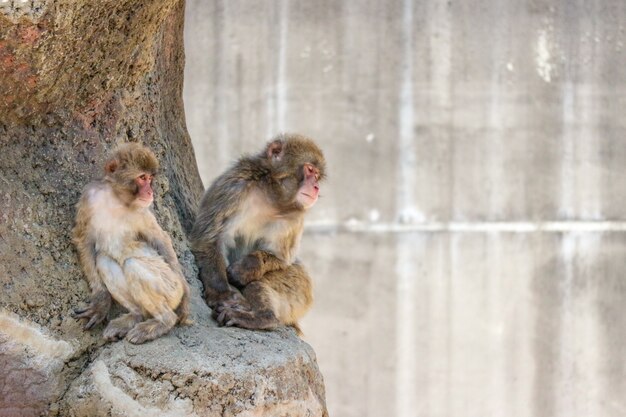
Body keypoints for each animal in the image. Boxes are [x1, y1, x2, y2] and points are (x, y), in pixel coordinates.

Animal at [72, 143, 189, 344]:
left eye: (149, 178)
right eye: (142, 178)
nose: (150, 192)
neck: (116, 198)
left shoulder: (143, 209)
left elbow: (160, 239)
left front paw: (185, 300)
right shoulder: (89, 196)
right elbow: (84, 241)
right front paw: (101, 301)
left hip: (171, 288)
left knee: (132, 263)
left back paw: (163, 321)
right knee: (104, 259)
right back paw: (135, 316)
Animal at [189, 132, 326, 334]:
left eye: (317, 175)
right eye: (309, 170)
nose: (316, 187)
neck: (271, 194)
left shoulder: (294, 218)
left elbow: (281, 259)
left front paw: (246, 268)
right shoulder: (234, 185)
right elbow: (210, 239)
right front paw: (222, 294)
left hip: (302, 292)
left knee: (264, 280)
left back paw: (262, 317)